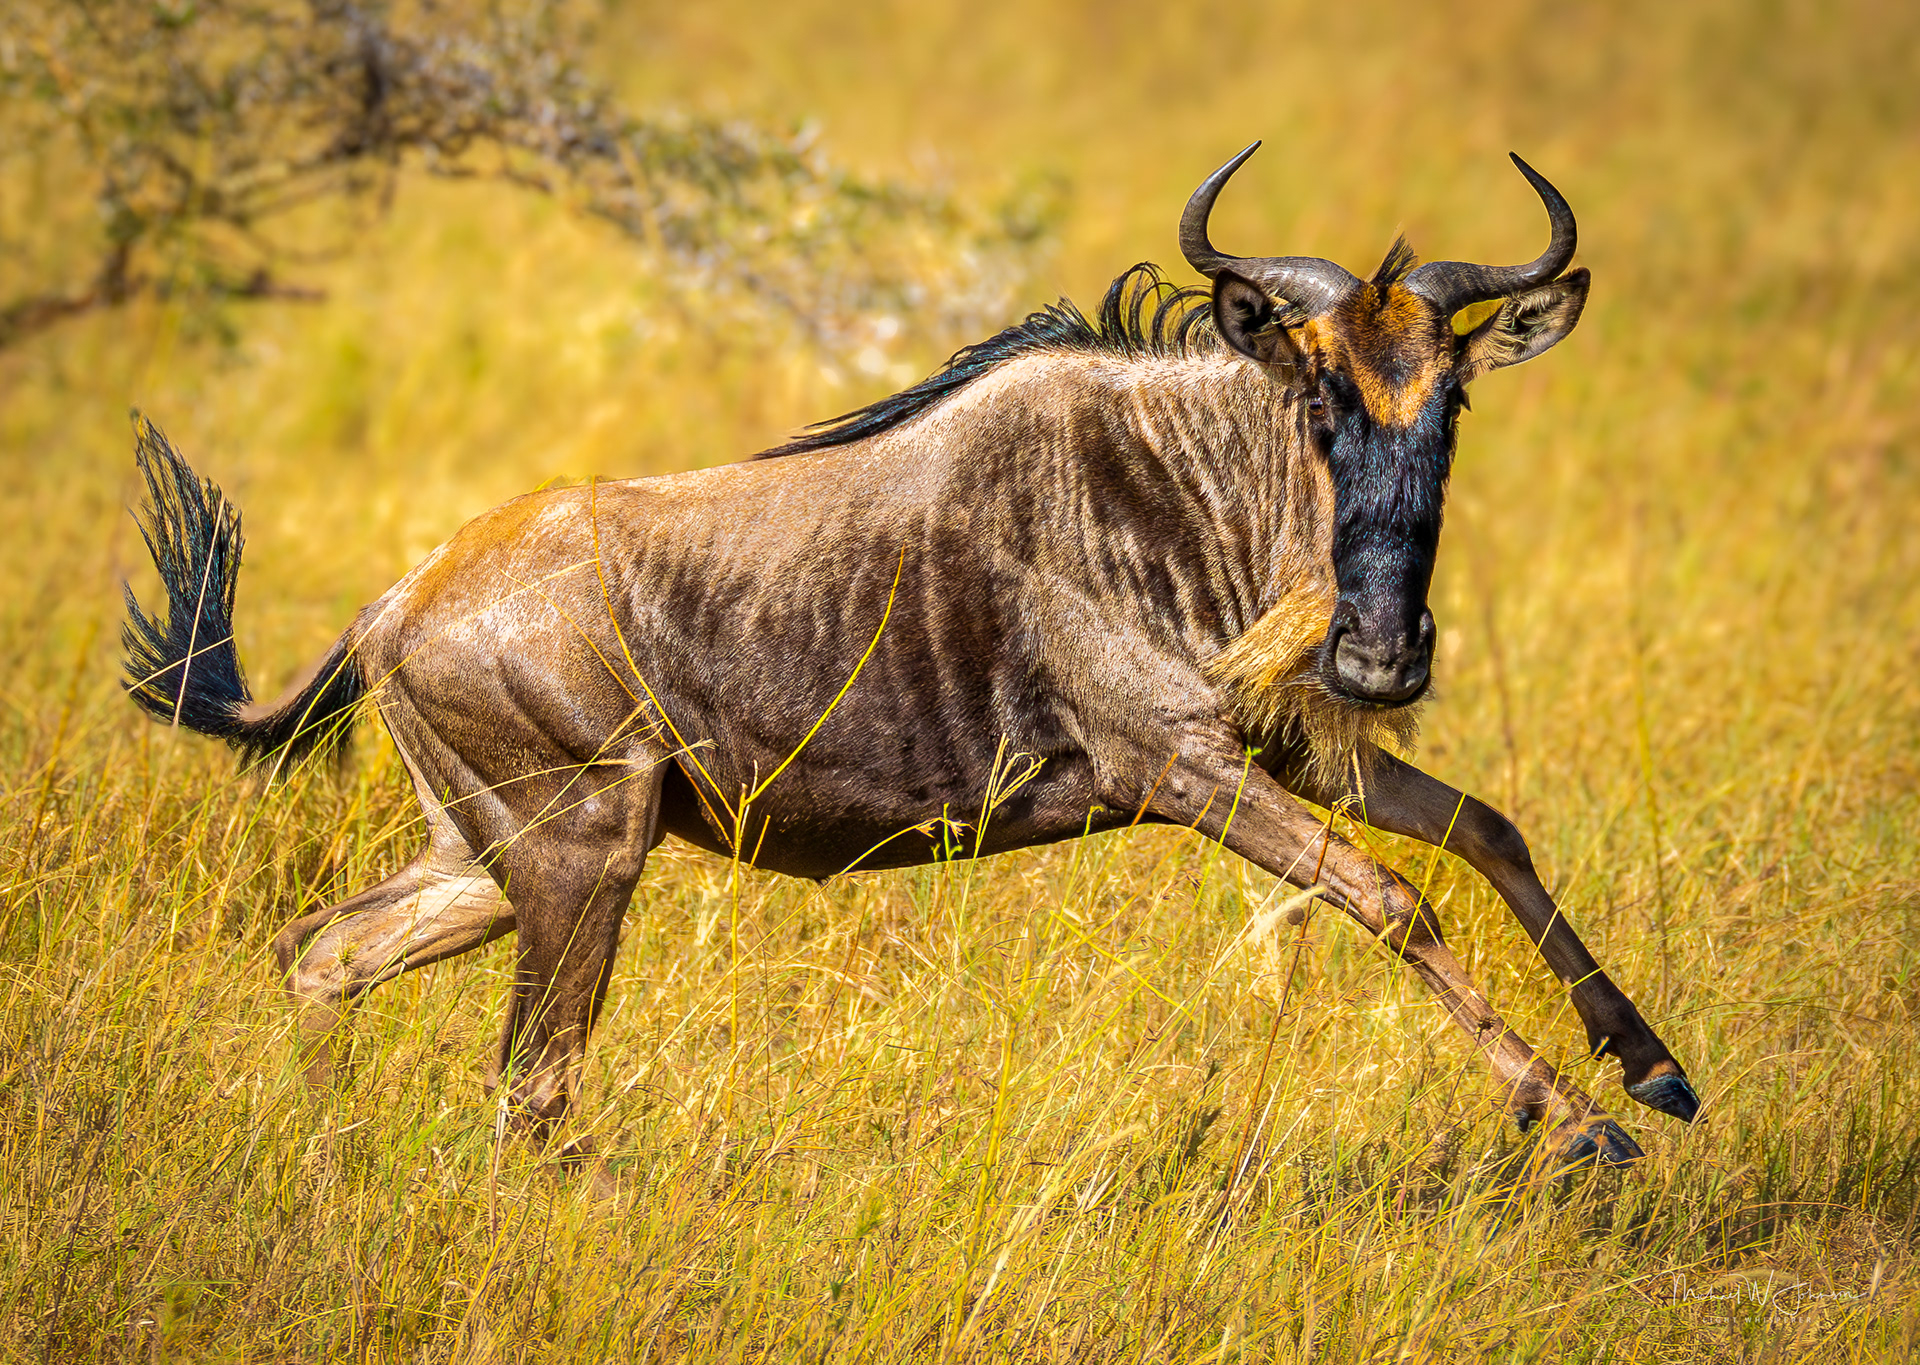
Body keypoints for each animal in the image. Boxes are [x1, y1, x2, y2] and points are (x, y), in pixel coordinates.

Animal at [123, 144, 1699, 1168]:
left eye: (1451, 402)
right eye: (1317, 399)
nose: (1378, 659)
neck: (1176, 487)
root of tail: (395, 602)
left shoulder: (1289, 751)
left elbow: (1489, 831)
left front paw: (1656, 1069)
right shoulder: (1184, 770)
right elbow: (1392, 902)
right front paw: (1576, 1122)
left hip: (484, 859)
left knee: (324, 952)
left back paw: (323, 1160)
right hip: (581, 859)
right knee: (531, 1089)